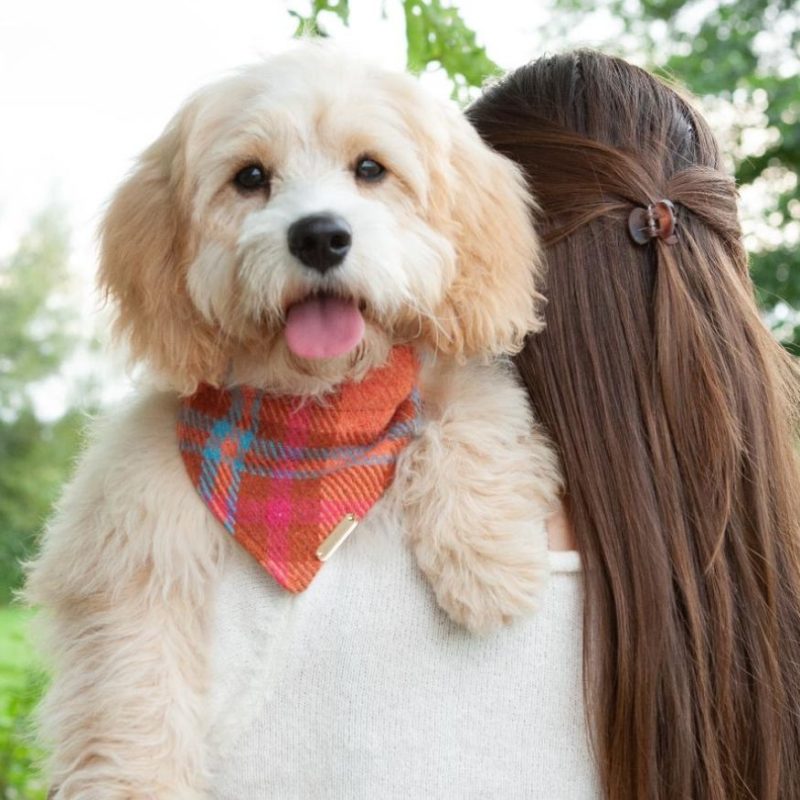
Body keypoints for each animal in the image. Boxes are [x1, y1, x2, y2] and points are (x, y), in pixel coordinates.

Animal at [26, 47, 564, 796]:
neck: (314, 413)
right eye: (251, 177)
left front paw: (489, 565)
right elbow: (133, 681)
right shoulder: (133, 536)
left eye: (370, 168)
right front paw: (137, 782)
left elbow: (472, 404)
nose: (319, 236)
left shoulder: (445, 379)